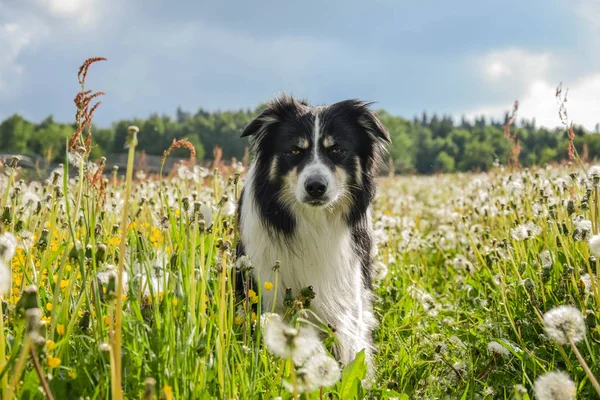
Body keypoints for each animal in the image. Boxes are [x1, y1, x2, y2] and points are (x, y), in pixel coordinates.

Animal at [237, 95, 392, 374]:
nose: (316, 187)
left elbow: (351, 348)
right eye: (295, 151)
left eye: (336, 150)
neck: (313, 221)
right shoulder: (268, 294)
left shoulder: (347, 292)